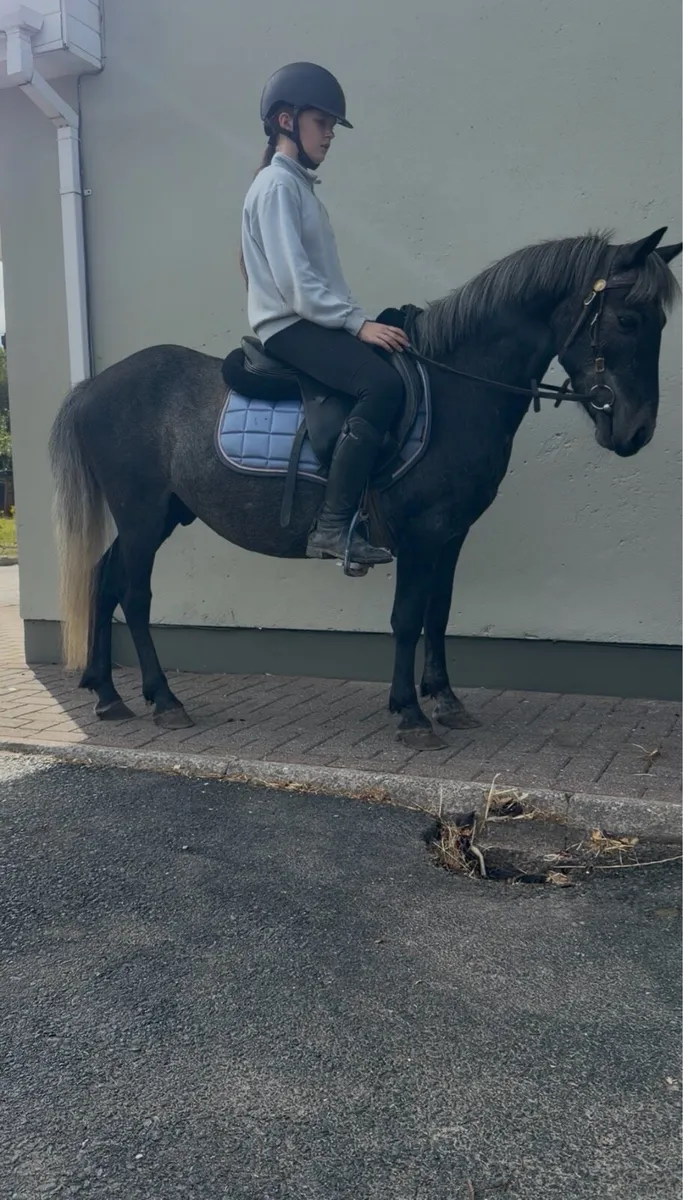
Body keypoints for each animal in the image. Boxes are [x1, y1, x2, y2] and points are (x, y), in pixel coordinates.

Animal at [48, 227, 681, 750]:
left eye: (660, 323)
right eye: (628, 321)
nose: (637, 430)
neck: (456, 387)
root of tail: (93, 386)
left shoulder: (450, 536)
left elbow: (438, 613)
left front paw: (445, 700)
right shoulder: (422, 534)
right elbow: (406, 618)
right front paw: (411, 714)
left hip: (159, 516)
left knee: (104, 580)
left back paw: (107, 694)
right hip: (141, 513)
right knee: (133, 594)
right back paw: (164, 700)